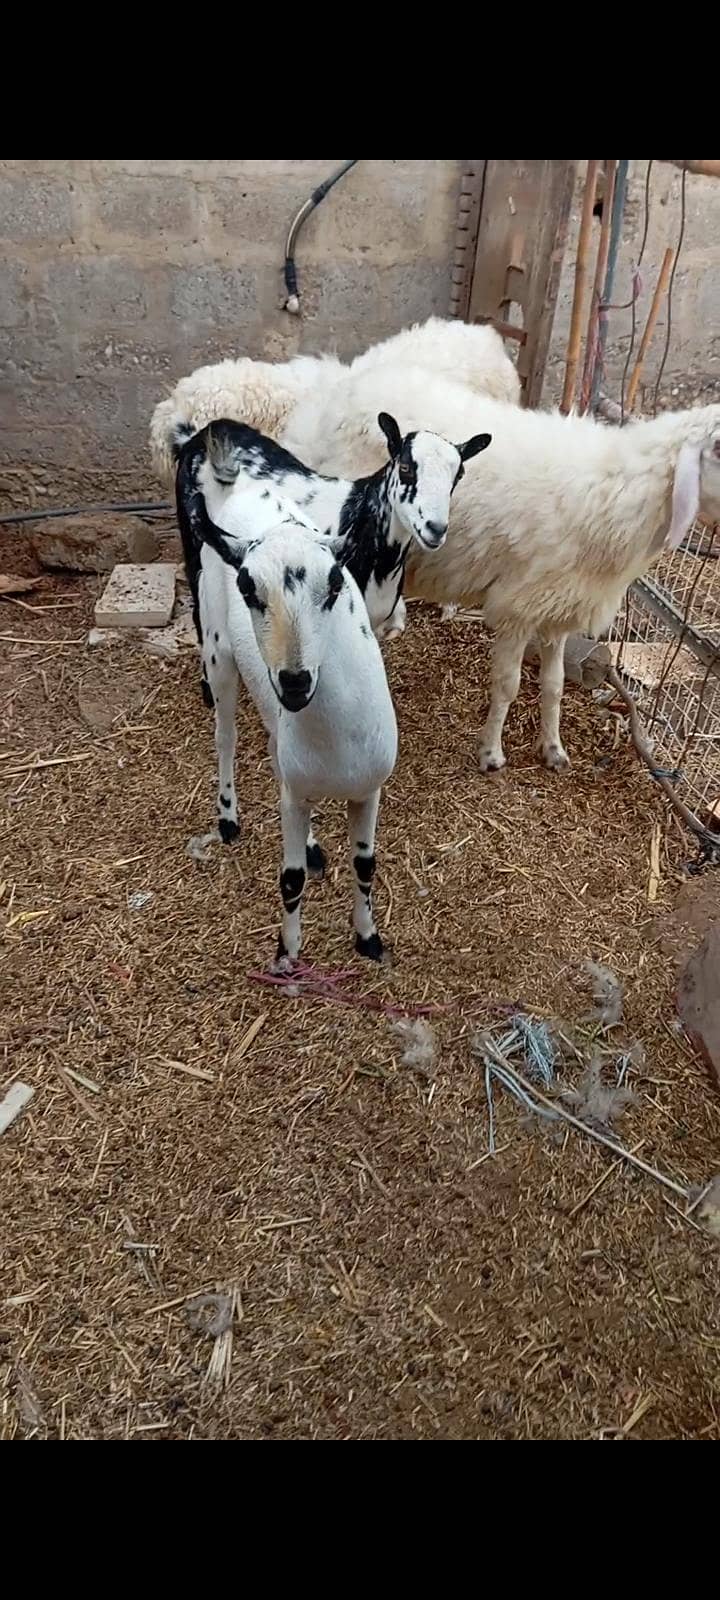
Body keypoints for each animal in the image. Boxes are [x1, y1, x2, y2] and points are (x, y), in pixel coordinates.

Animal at [173, 413, 491, 708]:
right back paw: (208, 690)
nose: (435, 529)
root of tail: (198, 436)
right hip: (193, 542)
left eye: (458, 476)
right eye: (405, 468)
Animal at [176, 435, 399, 966]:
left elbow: (366, 865)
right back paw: (228, 817)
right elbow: (291, 878)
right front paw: (288, 955)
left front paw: (368, 938)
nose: (295, 681)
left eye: (337, 582)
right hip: (217, 651)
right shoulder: (297, 795)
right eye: (246, 586)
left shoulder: (368, 790)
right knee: (226, 737)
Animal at [277, 369, 720, 772]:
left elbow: (554, 686)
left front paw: (553, 749)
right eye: (717, 447)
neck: (616, 494)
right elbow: (509, 686)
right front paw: (491, 753)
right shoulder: (518, 607)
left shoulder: (559, 607)